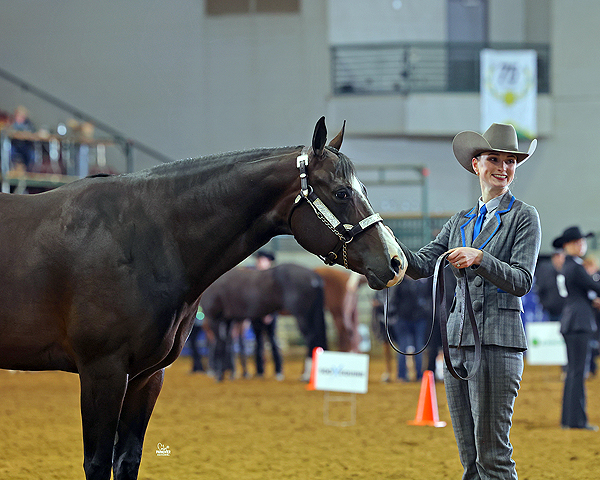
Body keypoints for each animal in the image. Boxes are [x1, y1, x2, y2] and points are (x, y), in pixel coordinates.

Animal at [0, 117, 406, 480]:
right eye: (341, 193)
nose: (395, 261)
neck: (139, 237)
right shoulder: (103, 371)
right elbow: (98, 464)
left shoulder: (146, 377)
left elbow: (127, 460)